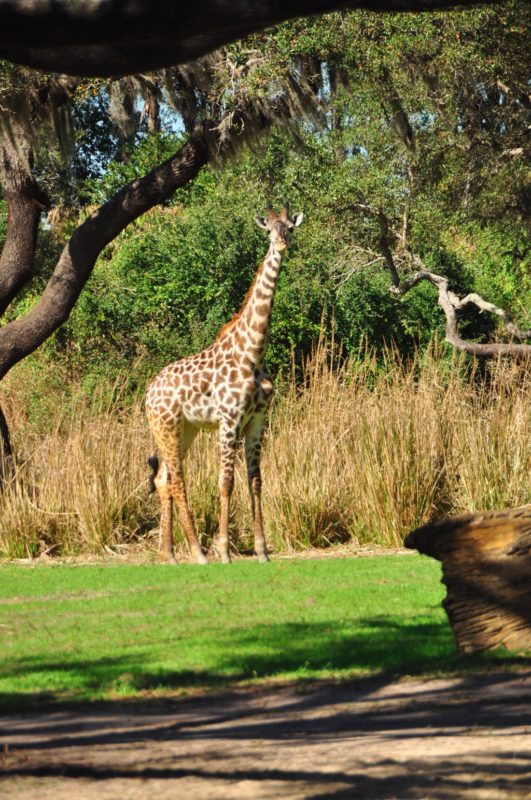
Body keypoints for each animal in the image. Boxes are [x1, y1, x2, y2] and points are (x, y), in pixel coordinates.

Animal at [145, 203, 304, 564]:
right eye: (268, 230)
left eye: (290, 227)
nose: (282, 244)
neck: (253, 353)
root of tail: (148, 393)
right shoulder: (229, 419)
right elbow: (225, 482)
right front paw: (224, 551)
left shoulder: (258, 420)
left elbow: (255, 481)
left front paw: (261, 551)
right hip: (167, 426)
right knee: (177, 480)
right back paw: (198, 552)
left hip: (185, 429)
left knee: (163, 478)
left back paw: (170, 555)